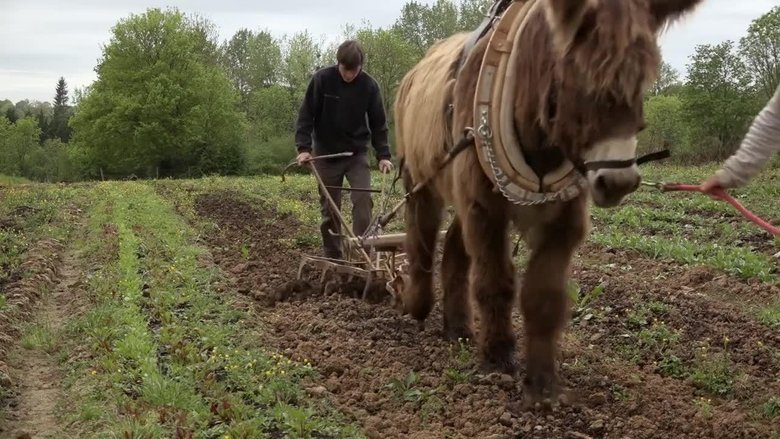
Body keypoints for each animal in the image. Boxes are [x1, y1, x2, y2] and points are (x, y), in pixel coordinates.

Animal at [394, 0, 704, 404]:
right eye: (580, 74)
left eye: (643, 79)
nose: (619, 181)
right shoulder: (486, 208)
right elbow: (495, 282)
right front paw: (497, 358)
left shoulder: (562, 220)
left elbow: (543, 297)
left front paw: (542, 383)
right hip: (423, 179)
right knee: (421, 237)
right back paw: (417, 304)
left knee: (453, 252)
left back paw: (457, 327)